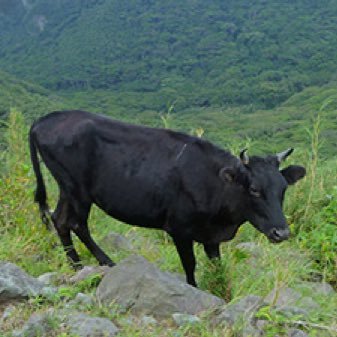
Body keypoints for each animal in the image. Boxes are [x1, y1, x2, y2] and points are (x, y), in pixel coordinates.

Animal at [28, 111, 304, 286]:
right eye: (254, 189)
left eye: (283, 189)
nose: (282, 233)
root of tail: (45, 119)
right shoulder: (179, 229)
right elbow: (190, 265)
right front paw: (194, 289)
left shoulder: (211, 236)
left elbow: (217, 265)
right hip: (77, 189)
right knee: (76, 222)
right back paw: (101, 263)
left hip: (67, 188)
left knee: (59, 219)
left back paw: (78, 266)